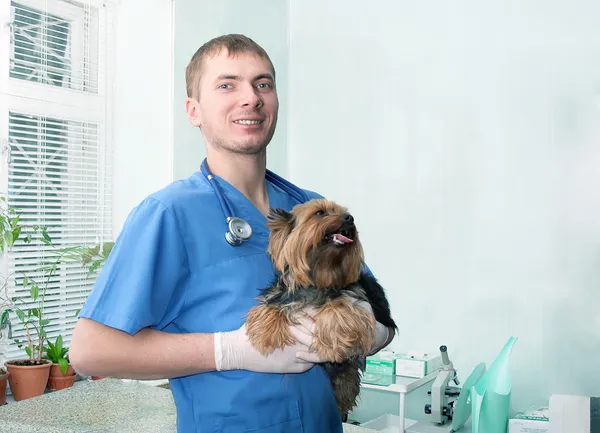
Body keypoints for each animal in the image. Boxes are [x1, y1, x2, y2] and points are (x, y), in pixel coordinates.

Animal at [246, 197, 396, 414]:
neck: (319, 279)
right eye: (319, 213)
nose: (349, 218)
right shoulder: (283, 292)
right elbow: (272, 303)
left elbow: (341, 306)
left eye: (346, 213)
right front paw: (266, 331)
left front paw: (334, 340)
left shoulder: (355, 296)